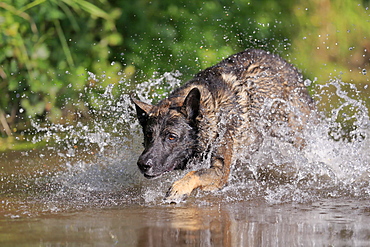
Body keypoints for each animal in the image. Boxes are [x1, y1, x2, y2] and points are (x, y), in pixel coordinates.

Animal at [132, 48, 314, 203]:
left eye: (171, 137)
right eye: (148, 135)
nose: (142, 164)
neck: (213, 112)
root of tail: (287, 65)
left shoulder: (220, 171)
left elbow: (195, 173)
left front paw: (179, 187)